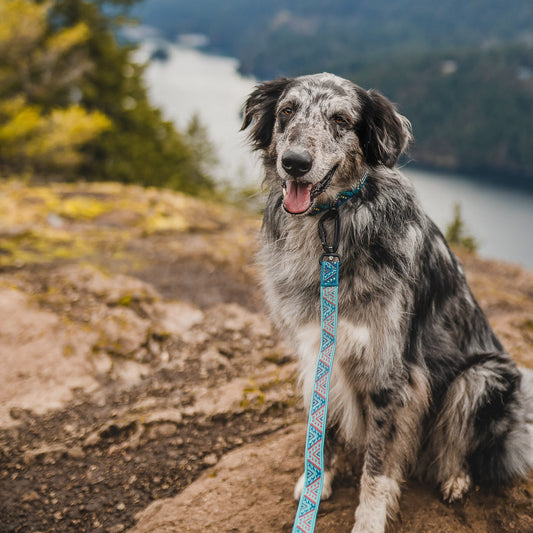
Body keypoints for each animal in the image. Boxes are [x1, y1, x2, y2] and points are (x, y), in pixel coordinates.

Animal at [242, 74, 532, 532]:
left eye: (341, 120)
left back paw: (455, 478)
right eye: (287, 111)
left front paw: (369, 519)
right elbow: (322, 426)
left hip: (482, 376)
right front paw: (316, 482)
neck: (329, 227)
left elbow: (377, 467)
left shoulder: (391, 374)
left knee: (461, 444)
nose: (295, 163)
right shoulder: (319, 349)